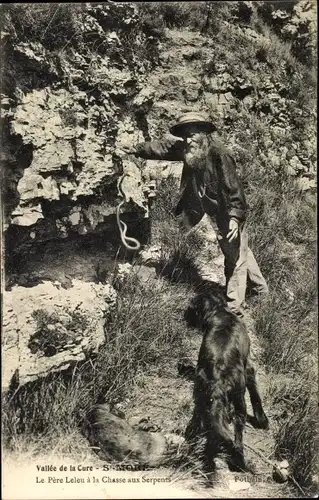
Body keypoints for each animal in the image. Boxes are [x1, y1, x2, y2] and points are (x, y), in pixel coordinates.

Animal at [184, 290, 268, 472]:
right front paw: (262, 419)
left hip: (202, 397)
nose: (185, 318)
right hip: (240, 403)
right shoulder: (248, 367)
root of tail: (219, 380)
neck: (220, 311)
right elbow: (255, 395)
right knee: (237, 439)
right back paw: (240, 463)